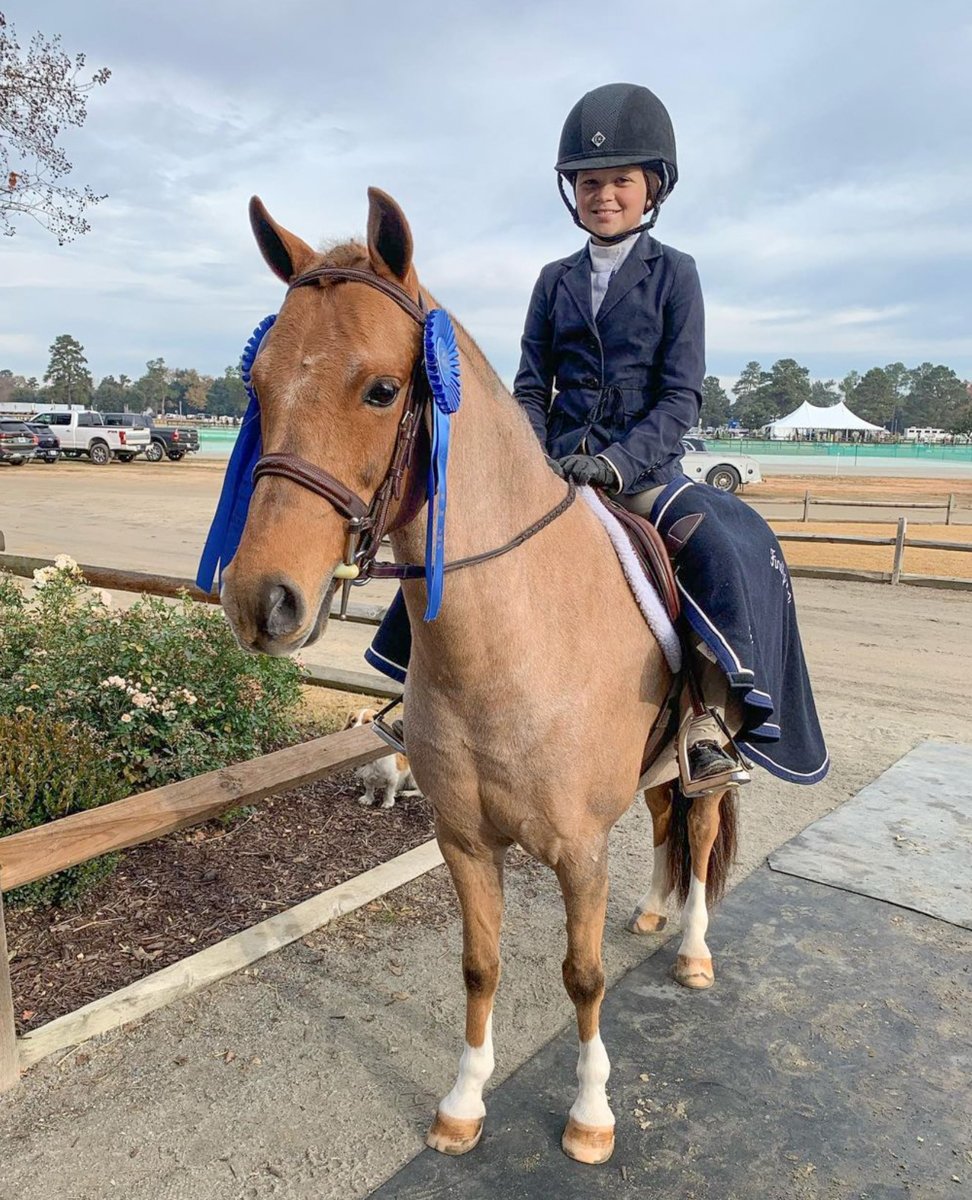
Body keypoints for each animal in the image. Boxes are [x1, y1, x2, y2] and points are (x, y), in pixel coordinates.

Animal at [222, 189, 734, 1161]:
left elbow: (582, 975)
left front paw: (591, 1114)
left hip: (714, 760)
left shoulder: (579, 848)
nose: (258, 600)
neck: (507, 645)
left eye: (383, 389)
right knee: (664, 821)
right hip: (653, 768)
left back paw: (691, 948)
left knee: (700, 823)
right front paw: (463, 1102)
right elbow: (479, 963)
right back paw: (655, 913)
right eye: (256, 384)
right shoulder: (464, 840)